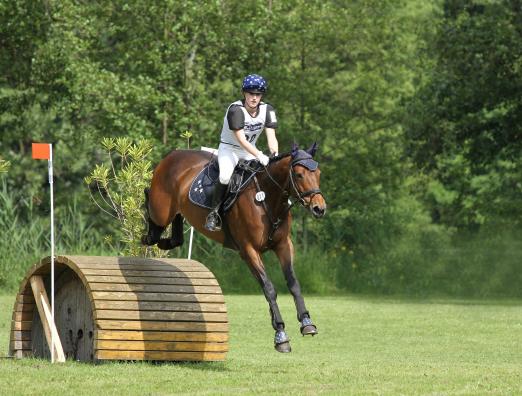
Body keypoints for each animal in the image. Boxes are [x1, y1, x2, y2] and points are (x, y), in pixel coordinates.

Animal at [140, 142, 322, 352]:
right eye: (299, 175)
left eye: (318, 173)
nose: (319, 208)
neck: (267, 198)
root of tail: (173, 154)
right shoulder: (248, 250)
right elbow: (269, 288)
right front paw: (280, 335)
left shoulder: (283, 244)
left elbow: (293, 283)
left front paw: (307, 322)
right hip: (161, 211)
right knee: (151, 213)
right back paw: (147, 226)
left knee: (176, 231)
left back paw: (166, 241)